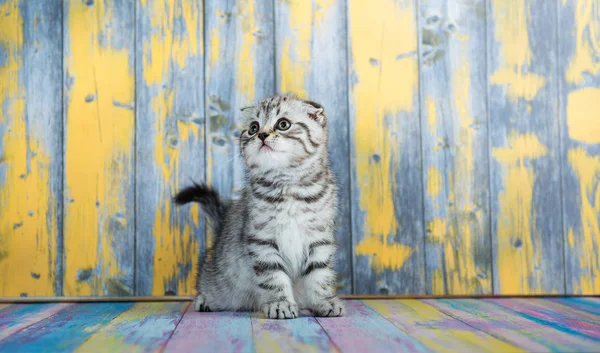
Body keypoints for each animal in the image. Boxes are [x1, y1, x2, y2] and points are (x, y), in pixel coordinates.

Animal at [173, 93, 342, 320]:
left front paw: (324, 301)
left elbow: (319, 275)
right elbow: (274, 278)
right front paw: (280, 304)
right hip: (219, 279)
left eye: (283, 124)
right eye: (253, 127)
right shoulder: (262, 241)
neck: (287, 185)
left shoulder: (319, 239)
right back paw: (204, 300)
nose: (261, 135)